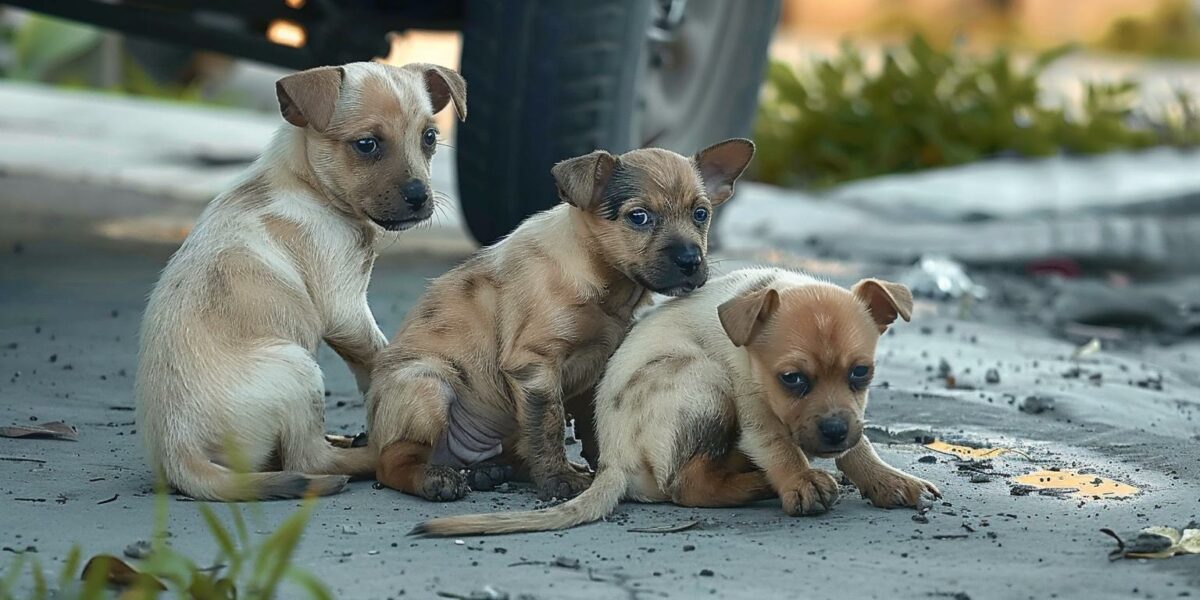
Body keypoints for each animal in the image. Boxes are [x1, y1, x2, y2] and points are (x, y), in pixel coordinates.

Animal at [135, 60, 463, 501]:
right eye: (367, 145)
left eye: (429, 137)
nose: (420, 197)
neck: (306, 184)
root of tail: (178, 452)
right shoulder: (346, 308)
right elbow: (379, 355)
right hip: (299, 369)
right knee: (310, 459)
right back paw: (367, 452)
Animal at [369, 139, 753, 501]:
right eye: (639, 217)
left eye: (700, 214)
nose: (691, 261)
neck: (602, 280)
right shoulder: (535, 367)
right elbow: (549, 426)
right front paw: (560, 479)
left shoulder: (596, 368)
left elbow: (593, 425)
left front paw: (601, 469)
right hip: (427, 386)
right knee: (392, 460)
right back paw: (434, 478)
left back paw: (486, 472)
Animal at [417, 267, 940, 535]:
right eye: (792, 380)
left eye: (861, 373)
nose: (832, 432)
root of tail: (613, 461)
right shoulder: (754, 408)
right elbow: (780, 445)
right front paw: (799, 481)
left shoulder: (850, 416)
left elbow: (860, 446)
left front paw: (887, 480)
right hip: (705, 380)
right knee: (687, 485)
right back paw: (757, 484)